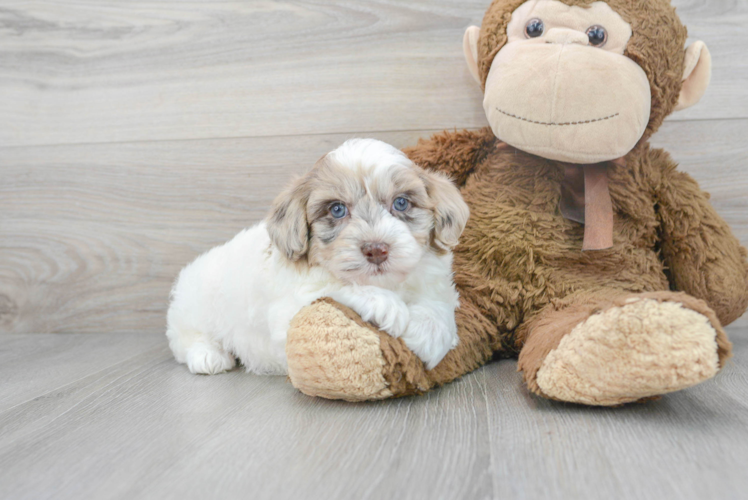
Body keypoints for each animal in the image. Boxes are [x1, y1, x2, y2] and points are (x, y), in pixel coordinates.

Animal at [166, 138, 468, 376]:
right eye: (337, 209)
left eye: (401, 203)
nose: (376, 249)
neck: (388, 283)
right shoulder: (288, 312)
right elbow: (333, 286)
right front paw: (386, 305)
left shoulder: (436, 283)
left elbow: (440, 305)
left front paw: (428, 335)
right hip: (193, 308)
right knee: (185, 339)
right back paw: (209, 356)